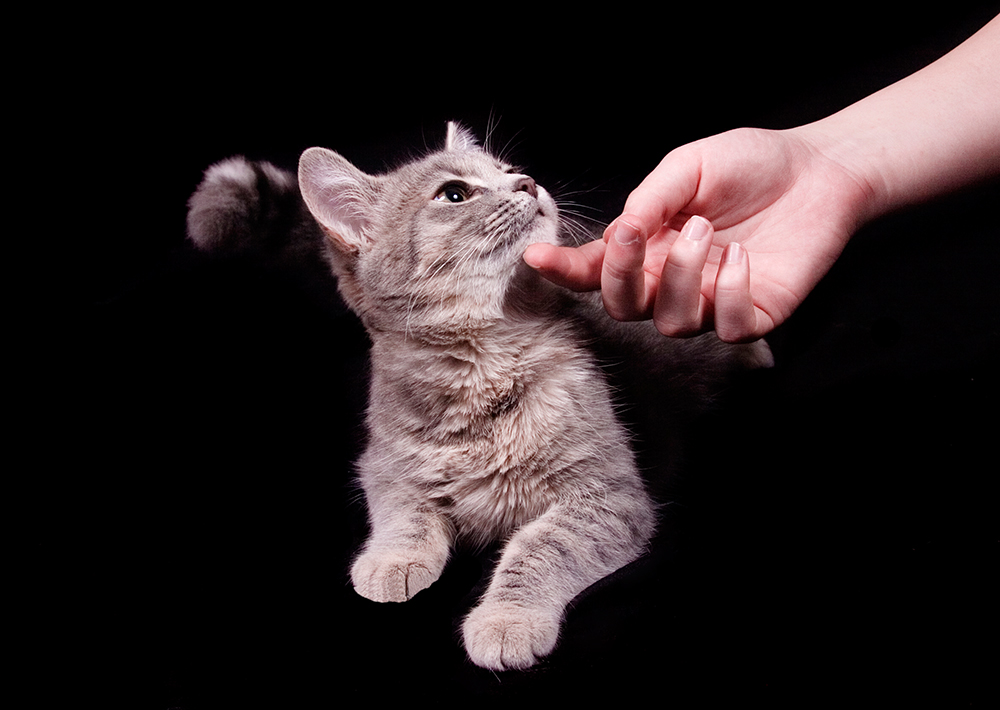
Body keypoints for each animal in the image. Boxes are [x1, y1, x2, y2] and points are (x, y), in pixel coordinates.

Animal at [184, 124, 768, 672]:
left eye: (508, 169)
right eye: (455, 194)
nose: (527, 181)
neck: (483, 370)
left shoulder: (609, 496)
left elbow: (541, 548)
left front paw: (507, 619)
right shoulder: (381, 462)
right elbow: (402, 509)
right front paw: (391, 557)